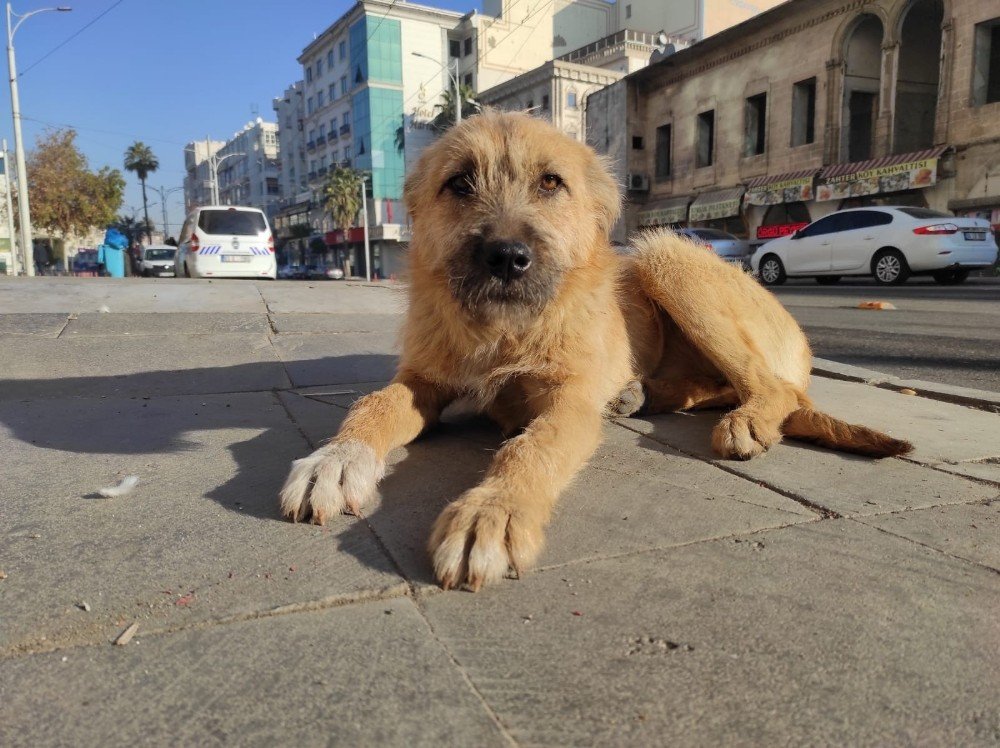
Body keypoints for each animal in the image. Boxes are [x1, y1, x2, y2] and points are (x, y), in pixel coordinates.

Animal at [278, 109, 912, 592]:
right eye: (459, 183)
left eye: (550, 183)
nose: (507, 258)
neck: (503, 330)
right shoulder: (424, 382)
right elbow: (374, 403)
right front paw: (336, 459)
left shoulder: (570, 401)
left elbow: (528, 449)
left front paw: (493, 511)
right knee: (710, 386)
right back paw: (642, 394)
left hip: (665, 257)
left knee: (768, 385)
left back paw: (745, 418)